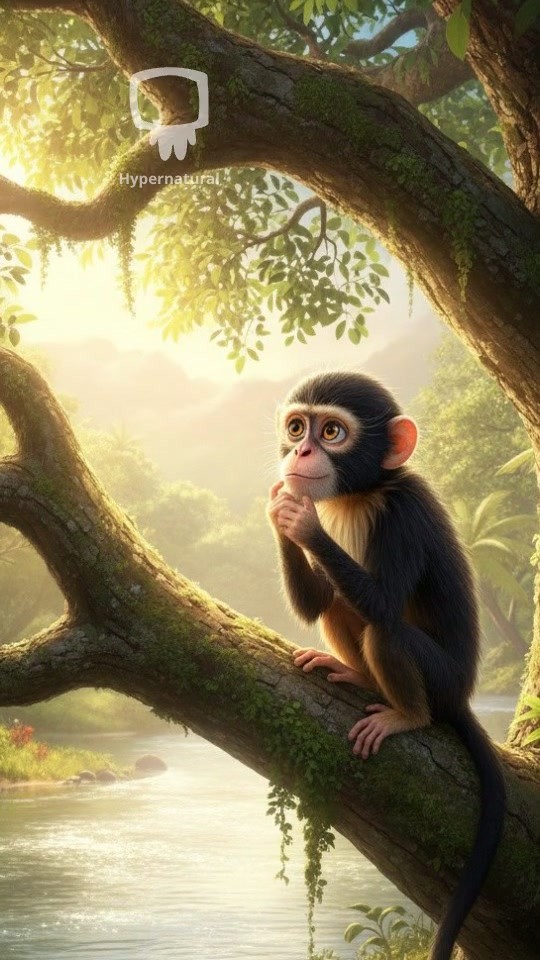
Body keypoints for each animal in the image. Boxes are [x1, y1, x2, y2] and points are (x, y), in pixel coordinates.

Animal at [266, 370, 505, 960]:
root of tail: (461, 694)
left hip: (440, 679)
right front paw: (282, 508)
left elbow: (381, 603)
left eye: (331, 432)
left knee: (384, 627)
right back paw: (356, 674)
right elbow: (317, 603)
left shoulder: (404, 514)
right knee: (337, 602)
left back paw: (408, 715)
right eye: (297, 427)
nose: (301, 451)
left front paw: (302, 522)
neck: (365, 492)